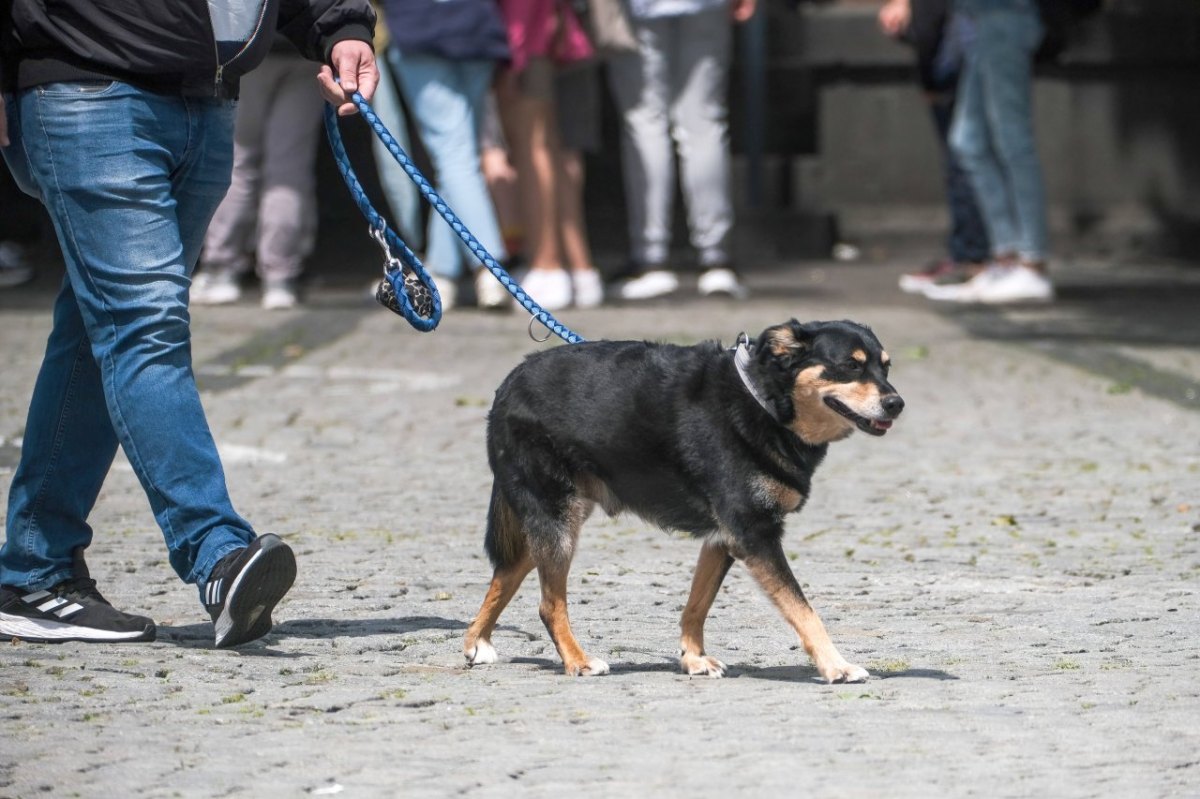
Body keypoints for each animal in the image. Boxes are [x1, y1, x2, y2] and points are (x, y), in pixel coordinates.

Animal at [463, 316, 902, 676]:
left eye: (886, 366)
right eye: (851, 365)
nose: (896, 403)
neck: (763, 402)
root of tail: (509, 384)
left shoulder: (723, 538)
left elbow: (697, 605)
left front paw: (693, 658)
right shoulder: (754, 535)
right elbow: (805, 612)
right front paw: (836, 666)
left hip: (551, 520)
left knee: (505, 575)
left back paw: (476, 642)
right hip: (557, 520)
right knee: (548, 604)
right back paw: (578, 661)